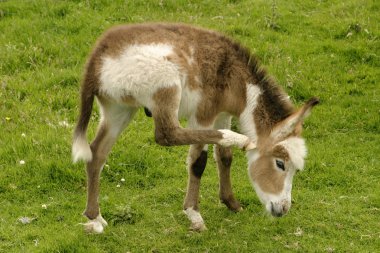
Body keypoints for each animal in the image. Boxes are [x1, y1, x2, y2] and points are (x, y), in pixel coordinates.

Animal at [71, 22, 318, 232]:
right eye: (280, 164)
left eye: (296, 169)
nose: (283, 209)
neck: (237, 81)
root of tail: (97, 57)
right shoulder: (203, 116)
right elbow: (199, 162)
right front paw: (193, 214)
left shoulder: (223, 114)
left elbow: (225, 157)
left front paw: (231, 203)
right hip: (166, 85)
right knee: (166, 134)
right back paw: (239, 139)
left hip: (119, 109)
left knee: (97, 152)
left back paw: (94, 217)